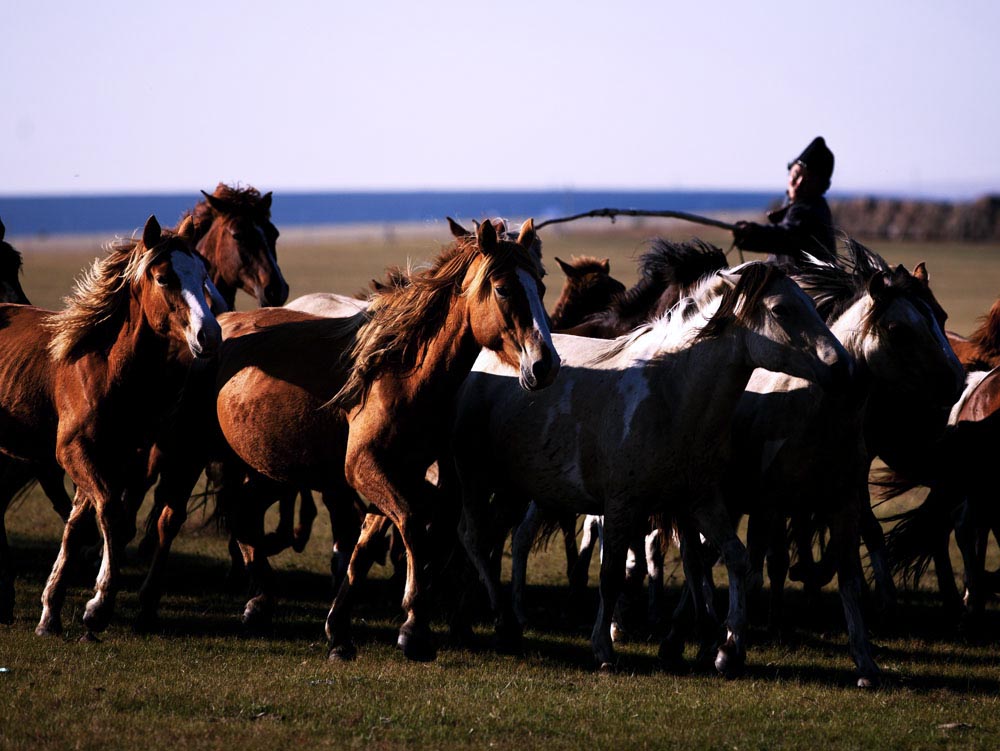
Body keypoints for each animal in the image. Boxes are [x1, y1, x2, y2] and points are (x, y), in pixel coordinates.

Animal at [0, 216, 223, 636]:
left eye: (203, 275)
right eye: (164, 277)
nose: (210, 336)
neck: (103, 368)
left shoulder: (119, 460)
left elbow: (80, 526)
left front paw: (51, 611)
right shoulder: (74, 452)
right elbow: (110, 516)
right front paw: (98, 606)